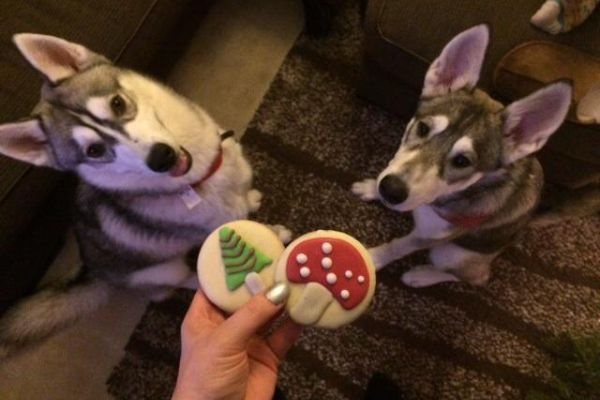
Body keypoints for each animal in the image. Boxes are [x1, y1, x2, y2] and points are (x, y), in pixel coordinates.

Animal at [0, 32, 268, 354]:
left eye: (117, 103)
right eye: (94, 150)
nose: (161, 158)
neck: (201, 179)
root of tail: (93, 270)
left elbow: (245, 200)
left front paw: (252, 200)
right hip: (163, 270)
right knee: (176, 283)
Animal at [354, 24, 576, 288]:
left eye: (462, 161)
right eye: (423, 128)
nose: (391, 190)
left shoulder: (431, 237)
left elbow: (399, 246)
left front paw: (372, 258)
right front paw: (370, 188)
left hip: (453, 253)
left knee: (475, 277)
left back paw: (421, 276)